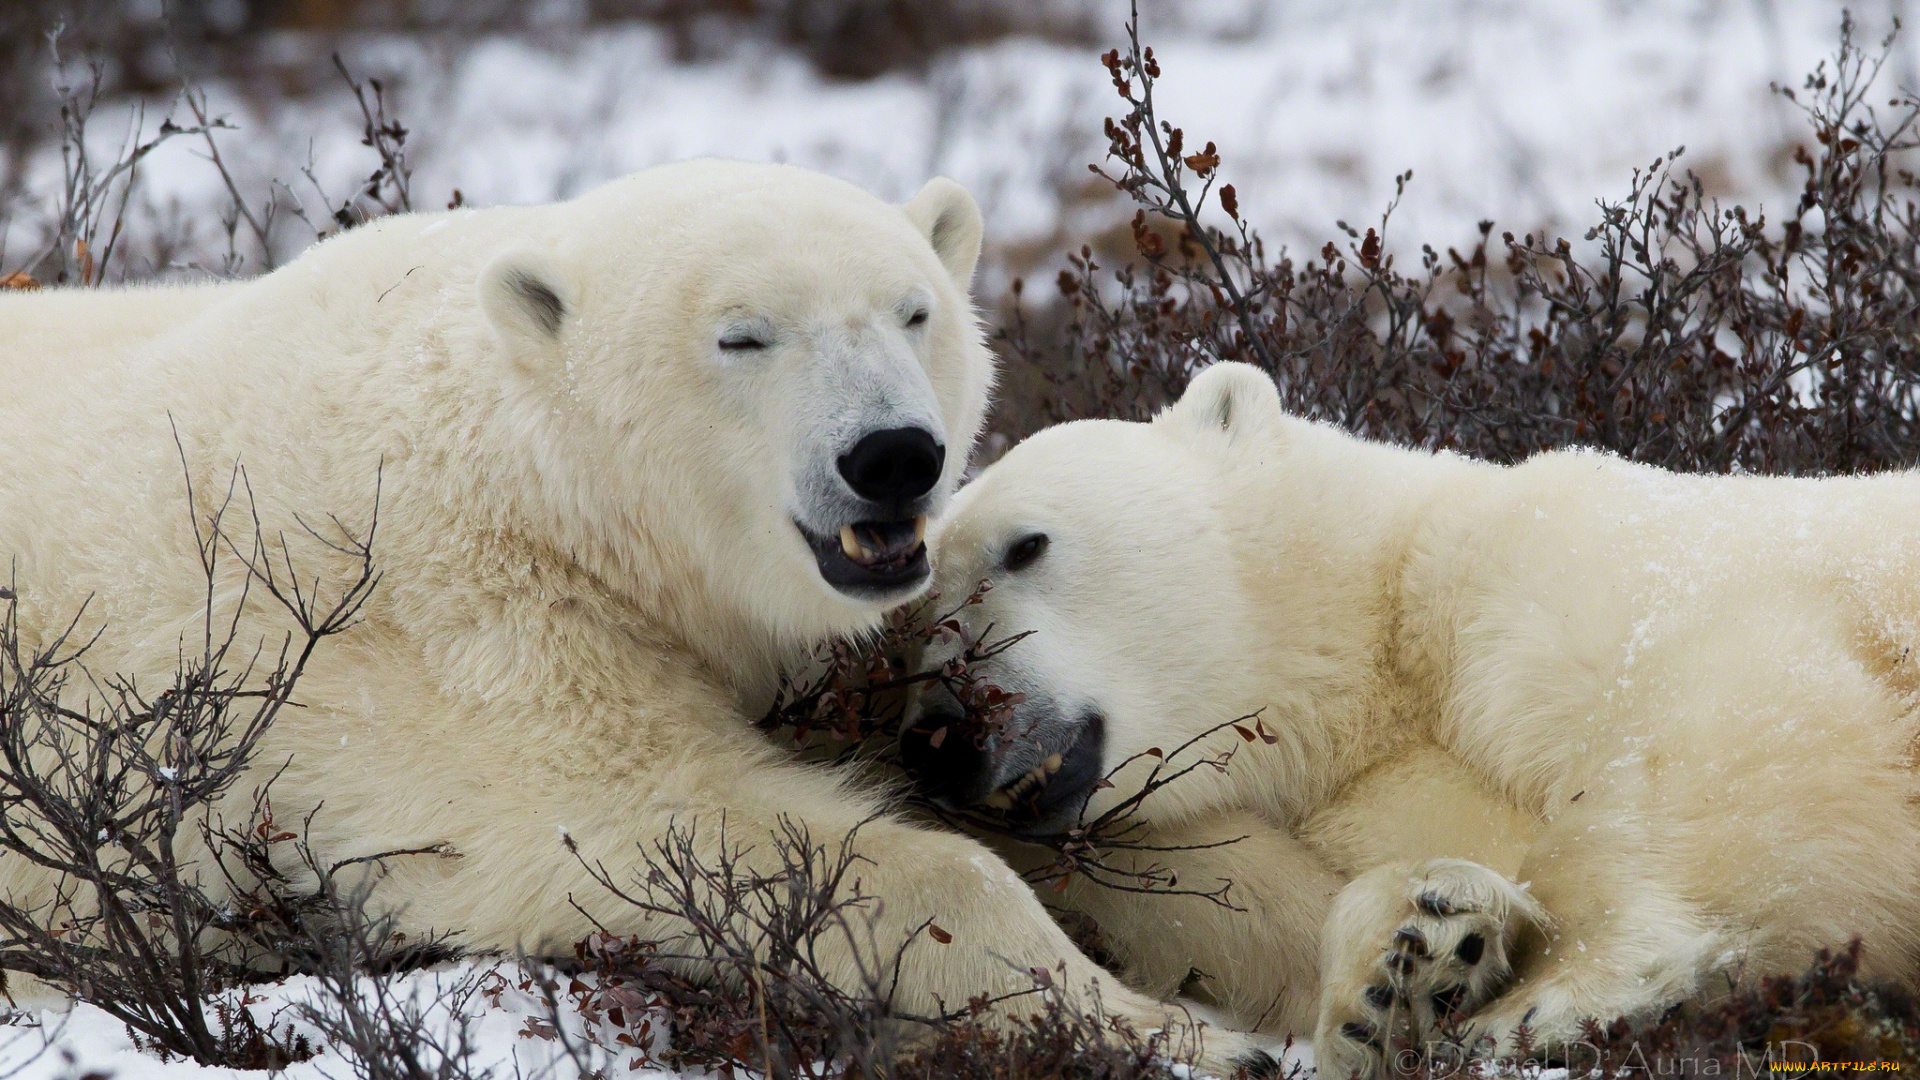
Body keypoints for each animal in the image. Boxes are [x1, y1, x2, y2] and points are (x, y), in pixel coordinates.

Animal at [0, 159, 1267, 1068]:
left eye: (914, 312)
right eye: (743, 335)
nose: (894, 456)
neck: (528, 468)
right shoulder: (446, 639)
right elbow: (654, 824)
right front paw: (1195, 1037)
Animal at [902, 363, 1920, 1076]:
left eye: (1025, 546)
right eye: (918, 615)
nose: (938, 738)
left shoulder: (1565, 562)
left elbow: (1737, 716)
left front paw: (1543, 997)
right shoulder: (1375, 788)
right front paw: (1411, 972)